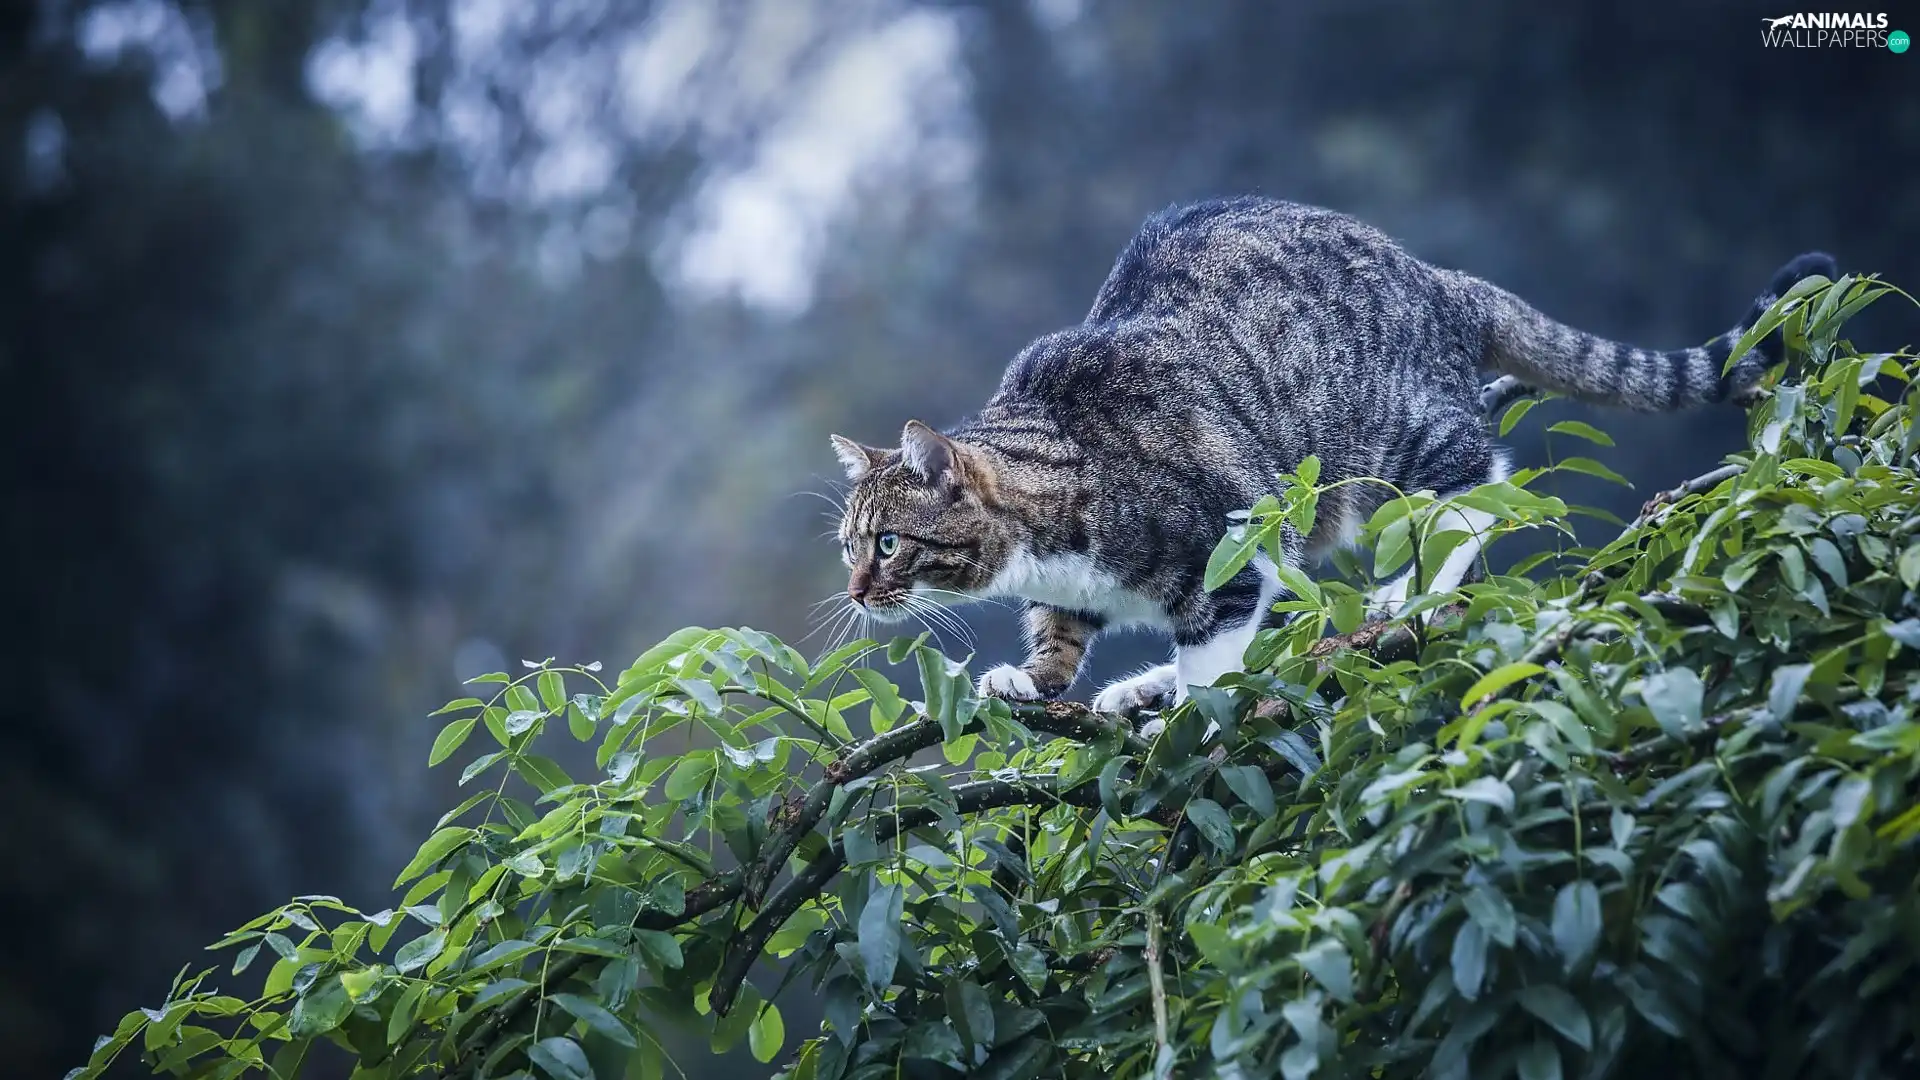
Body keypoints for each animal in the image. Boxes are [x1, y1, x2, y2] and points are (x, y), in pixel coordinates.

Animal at [821, 195, 1827, 714]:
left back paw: (1400, 594)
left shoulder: (1232, 544)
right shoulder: (1082, 589)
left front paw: (1188, 713)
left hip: (1392, 443)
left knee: (1478, 482)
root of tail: (1443, 281)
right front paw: (1035, 677)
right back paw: (1138, 688)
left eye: (887, 545)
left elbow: (1217, 652)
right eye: (849, 546)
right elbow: (1060, 632)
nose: (856, 591)